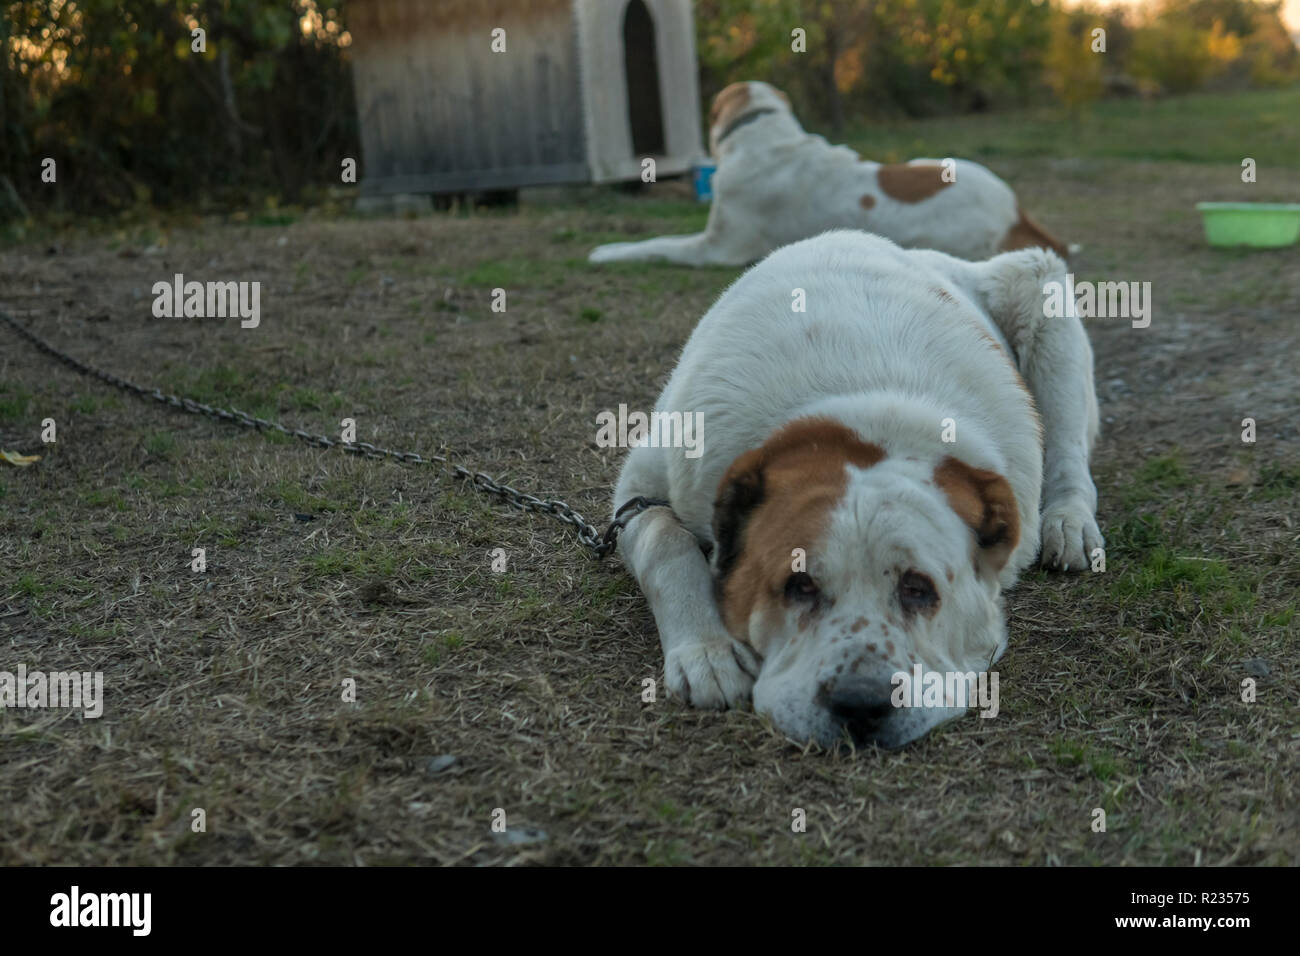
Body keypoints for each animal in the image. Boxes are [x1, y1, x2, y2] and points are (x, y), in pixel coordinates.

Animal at [590, 81, 1066, 267]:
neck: (766, 132)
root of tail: (1016, 212)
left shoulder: (715, 248)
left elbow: (655, 244)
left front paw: (607, 251)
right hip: (931, 161)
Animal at [613, 230, 1102, 749]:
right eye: (799, 585)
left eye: (918, 589)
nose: (861, 702)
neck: (865, 408)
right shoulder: (645, 480)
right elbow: (663, 539)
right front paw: (708, 649)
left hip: (1041, 287)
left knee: (1069, 455)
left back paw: (1069, 523)